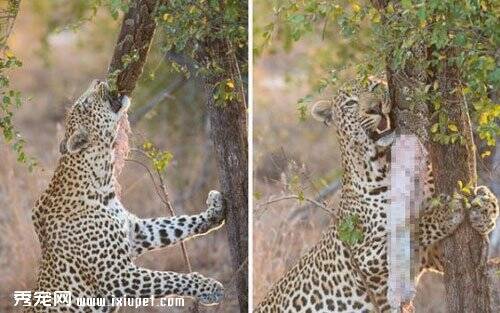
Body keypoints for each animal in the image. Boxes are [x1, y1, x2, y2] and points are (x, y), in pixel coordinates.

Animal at [25, 79, 225, 310]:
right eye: (85, 104)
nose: (98, 80)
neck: (103, 181)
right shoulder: (117, 276)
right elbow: (168, 277)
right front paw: (208, 288)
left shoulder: (136, 232)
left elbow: (174, 225)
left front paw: (215, 209)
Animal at [256, 79, 498, 310]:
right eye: (351, 103)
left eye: (374, 87)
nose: (375, 107)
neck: (385, 164)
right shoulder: (367, 254)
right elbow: (412, 226)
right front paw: (446, 211)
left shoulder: (428, 256)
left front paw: (484, 206)